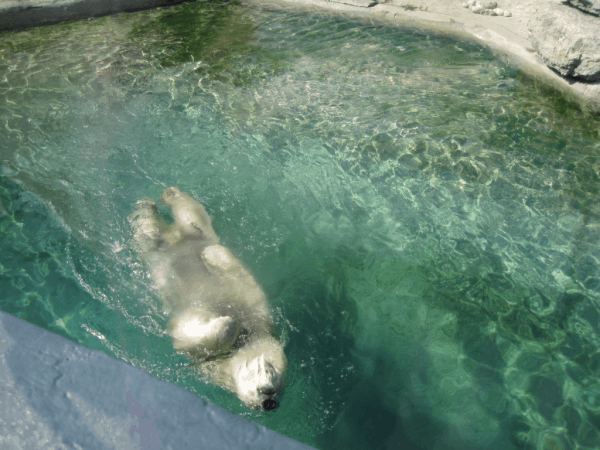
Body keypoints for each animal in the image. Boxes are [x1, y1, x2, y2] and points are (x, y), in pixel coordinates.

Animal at [128, 186, 286, 412]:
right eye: (271, 377)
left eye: (273, 391)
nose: (268, 403)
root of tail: (173, 234)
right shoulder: (257, 308)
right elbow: (234, 271)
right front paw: (210, 256)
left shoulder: (205, 359)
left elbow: (189, 331)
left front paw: (227, 322)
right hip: (196, 232)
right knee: (190, 216)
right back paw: (163, 197)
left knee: (149, 228)